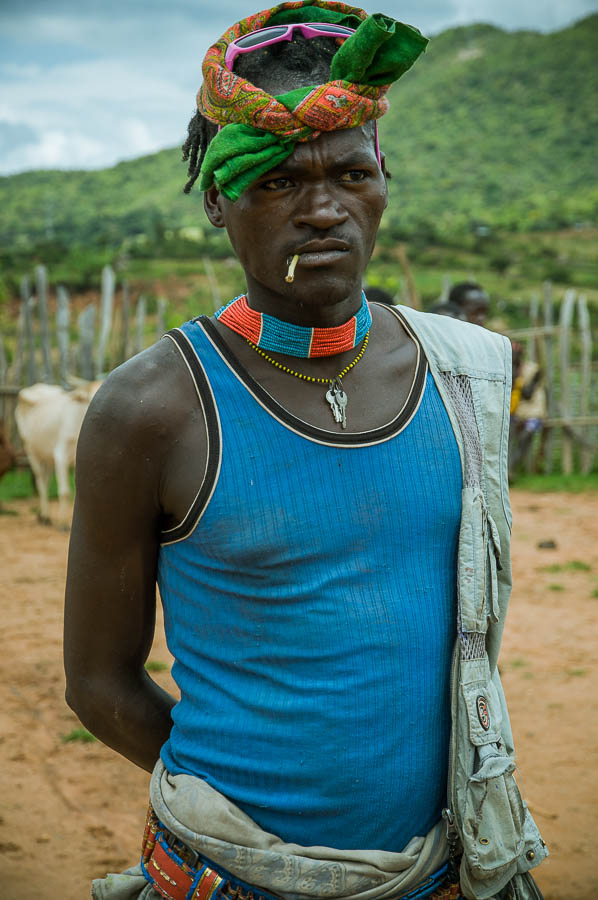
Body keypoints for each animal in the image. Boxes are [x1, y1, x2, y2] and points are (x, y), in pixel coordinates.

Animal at [15, 382, 102, 524]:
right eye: (88, 398)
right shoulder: (61, 457)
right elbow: (65, 491)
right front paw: (63, 523)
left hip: (48, 456)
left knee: (46, 481)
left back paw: (42, 514)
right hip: (30, 450)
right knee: (40, 481)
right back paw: (45, 516)